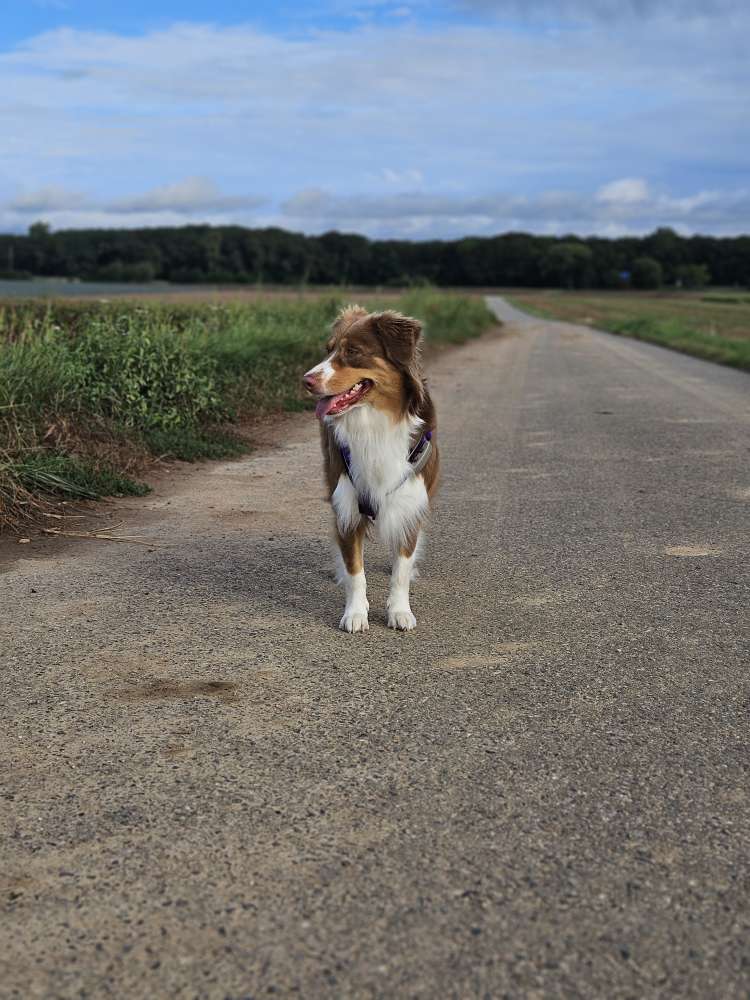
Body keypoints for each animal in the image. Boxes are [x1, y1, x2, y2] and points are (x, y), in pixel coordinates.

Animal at [302, 304, 438, 632]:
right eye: (328, 350)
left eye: (352, 351)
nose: (306, 381)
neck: (374, 424)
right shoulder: (348, 504)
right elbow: (355, 571)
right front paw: (355, 613)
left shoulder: (408, 503)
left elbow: (401, 569)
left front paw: (400, 610)